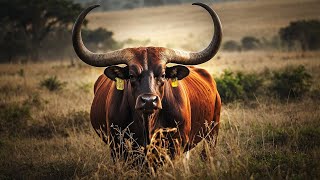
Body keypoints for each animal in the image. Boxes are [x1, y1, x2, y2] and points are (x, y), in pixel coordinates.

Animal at [72, 2, 222, 162]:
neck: (147, 122)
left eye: (163, 74)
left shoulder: (177, 145)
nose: (149, 101)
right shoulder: (117, 147)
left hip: (212, 132)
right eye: (131, 75)